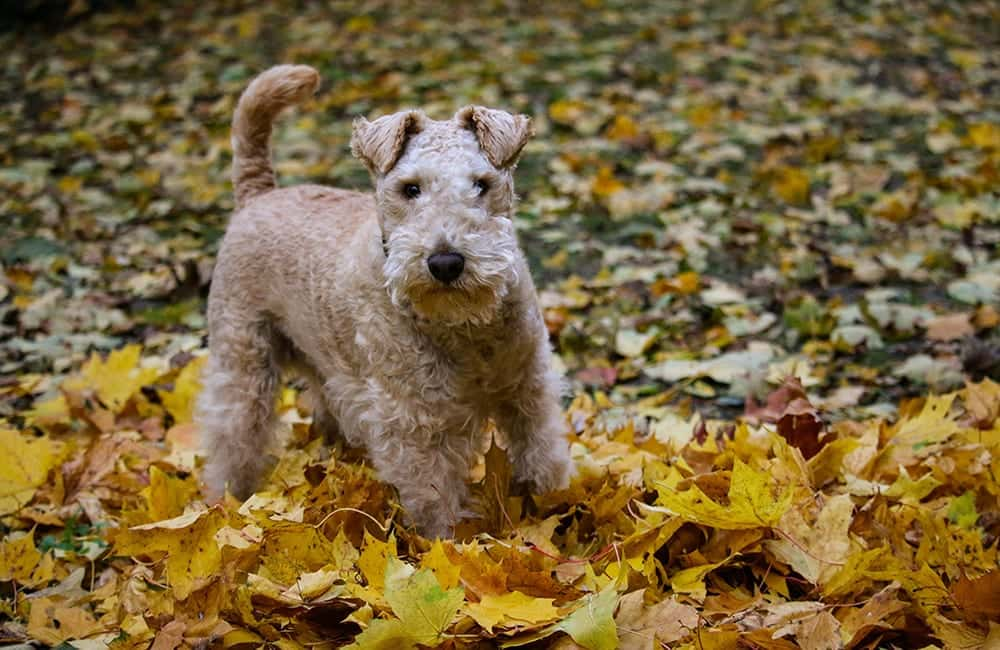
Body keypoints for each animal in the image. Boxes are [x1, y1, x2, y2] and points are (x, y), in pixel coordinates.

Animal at [197, 63, 572, 536]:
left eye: (481, 184)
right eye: (410, 188)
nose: (446, 262)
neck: (466, 328)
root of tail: (258, 195)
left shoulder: (528, 387)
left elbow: (544, 456)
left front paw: (559, 512)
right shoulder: (414, 420)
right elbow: (435, 501)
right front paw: (450, 546)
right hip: (243, 358)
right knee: (232, 434)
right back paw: (224, 502)